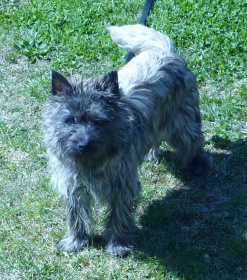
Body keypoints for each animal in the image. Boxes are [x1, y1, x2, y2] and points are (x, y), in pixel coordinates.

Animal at [43, 24, 208, 256]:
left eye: (99, 121)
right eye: (70, 120)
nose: (83, 144)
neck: (91, 163)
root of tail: (164, 50)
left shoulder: (123, 184)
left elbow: (118, 215)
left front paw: (118, 243)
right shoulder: (73, 185)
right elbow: (76, 216)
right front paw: (76, 241)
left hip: (183, 122)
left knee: (193, 141)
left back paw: (198, 166)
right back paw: (150, 154)